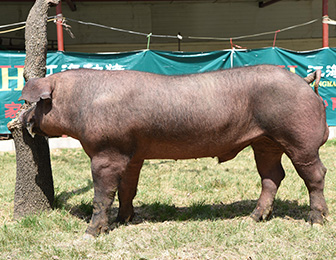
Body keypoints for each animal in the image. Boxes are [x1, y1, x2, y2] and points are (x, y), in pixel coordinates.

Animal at [17, 64, 328, 236]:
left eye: (36, 103)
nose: (22, 119)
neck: (81, 102)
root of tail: (304, 81)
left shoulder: (107, 153)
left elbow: (102, 194)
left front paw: (91, 233)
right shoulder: (133, 155)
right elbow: (128, 188)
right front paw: (124, 219)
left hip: (299, 138)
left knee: (315, 174)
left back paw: (316, 221)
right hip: (265, 142)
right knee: (273, 175)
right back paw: (254, 218)